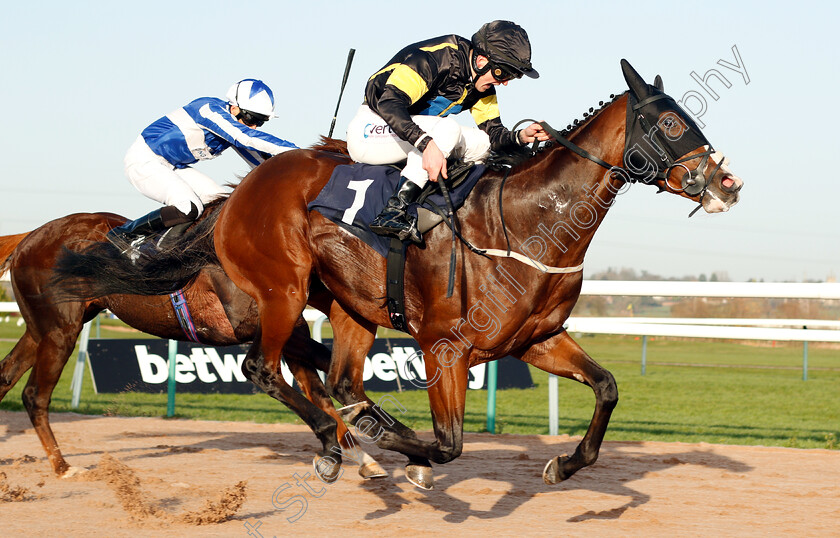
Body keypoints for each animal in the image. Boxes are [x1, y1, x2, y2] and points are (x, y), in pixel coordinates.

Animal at [0, 209, 384, 478]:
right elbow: (322, 373)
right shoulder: (260, 328)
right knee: (34, 395)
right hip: (60, 330)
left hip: (44, 329)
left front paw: (365, 457)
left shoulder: (290, 331)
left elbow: (321, 388)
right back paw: (64, 467)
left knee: (5, 377)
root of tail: (28, 236)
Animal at [55, 60, 744, 488]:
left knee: (338, 379)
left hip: (348, 306)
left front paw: (562, 466)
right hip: (282, 291)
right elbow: (447, 443)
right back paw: (342, 442)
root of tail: (242, 189)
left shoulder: (535, 339)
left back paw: (355, 433)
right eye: (673, 122)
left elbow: (606, 388)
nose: (727, 184)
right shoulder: (446, 348)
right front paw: (404, 455)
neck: (523, 222)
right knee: (266, 370)